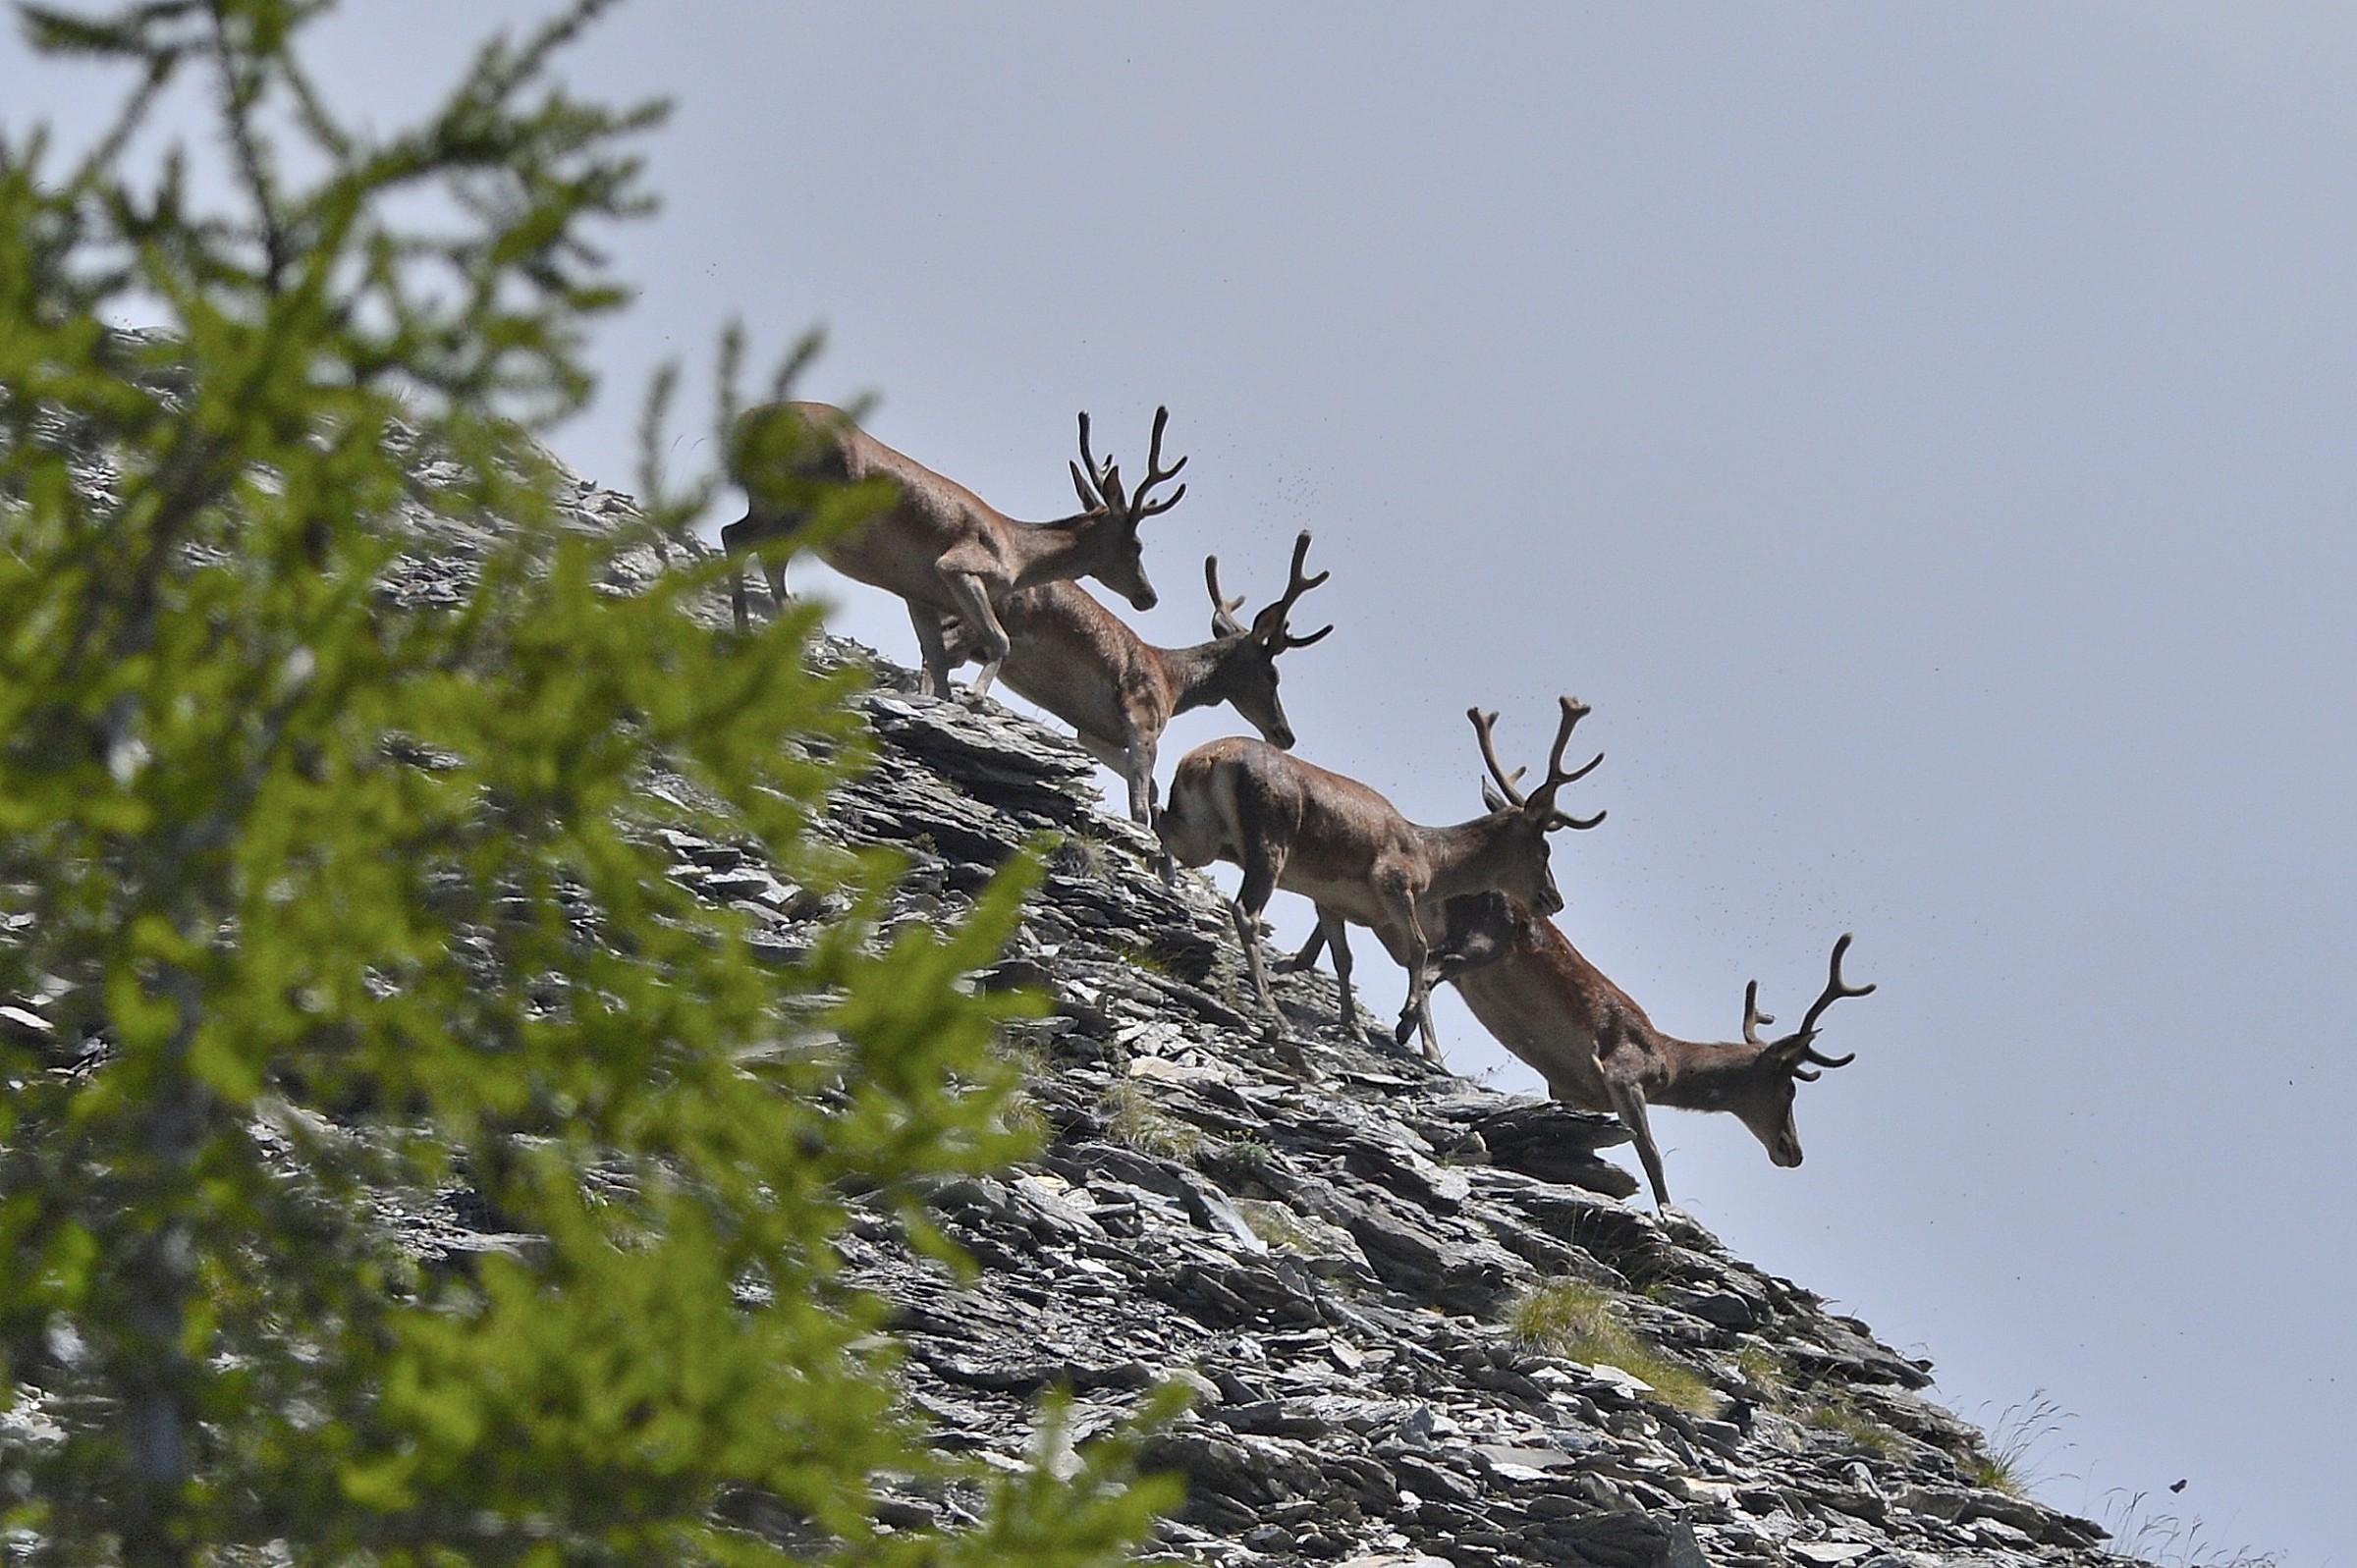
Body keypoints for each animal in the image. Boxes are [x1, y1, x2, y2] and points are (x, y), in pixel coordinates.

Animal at [721, 401, 1188, 701]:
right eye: (1136, 545)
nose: (1148, 597)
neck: (1018, 554)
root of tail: (748, 420)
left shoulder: (918, 595)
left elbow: (938, 664)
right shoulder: (956, 568)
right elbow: (999, 640)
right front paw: (976, 697)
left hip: (772, 508)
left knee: (740, 539)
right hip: (798, 510)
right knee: (745, 543)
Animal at [939, 531, 1334, 824]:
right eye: (1272, 674)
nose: (1285, 734)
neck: (1173, 686)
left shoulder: (1094, 732)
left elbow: (1151, 789)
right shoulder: (1143, 721)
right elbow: (1143, 804)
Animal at [1156, 697, 1606, 1060]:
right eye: (1545, 849)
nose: (1554, 898)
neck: (1430, 861)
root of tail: (1208, 760)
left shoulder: (1330, 899)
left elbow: (1345, 959)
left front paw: (1353, 1026)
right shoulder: (1392, 883)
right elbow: (1420, 950)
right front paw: (1414, 1030)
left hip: (1202, 832)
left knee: (1162, 819)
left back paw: (1164, 870)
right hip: (1270, 840)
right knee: (1246, 911)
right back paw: (1270, 1006)